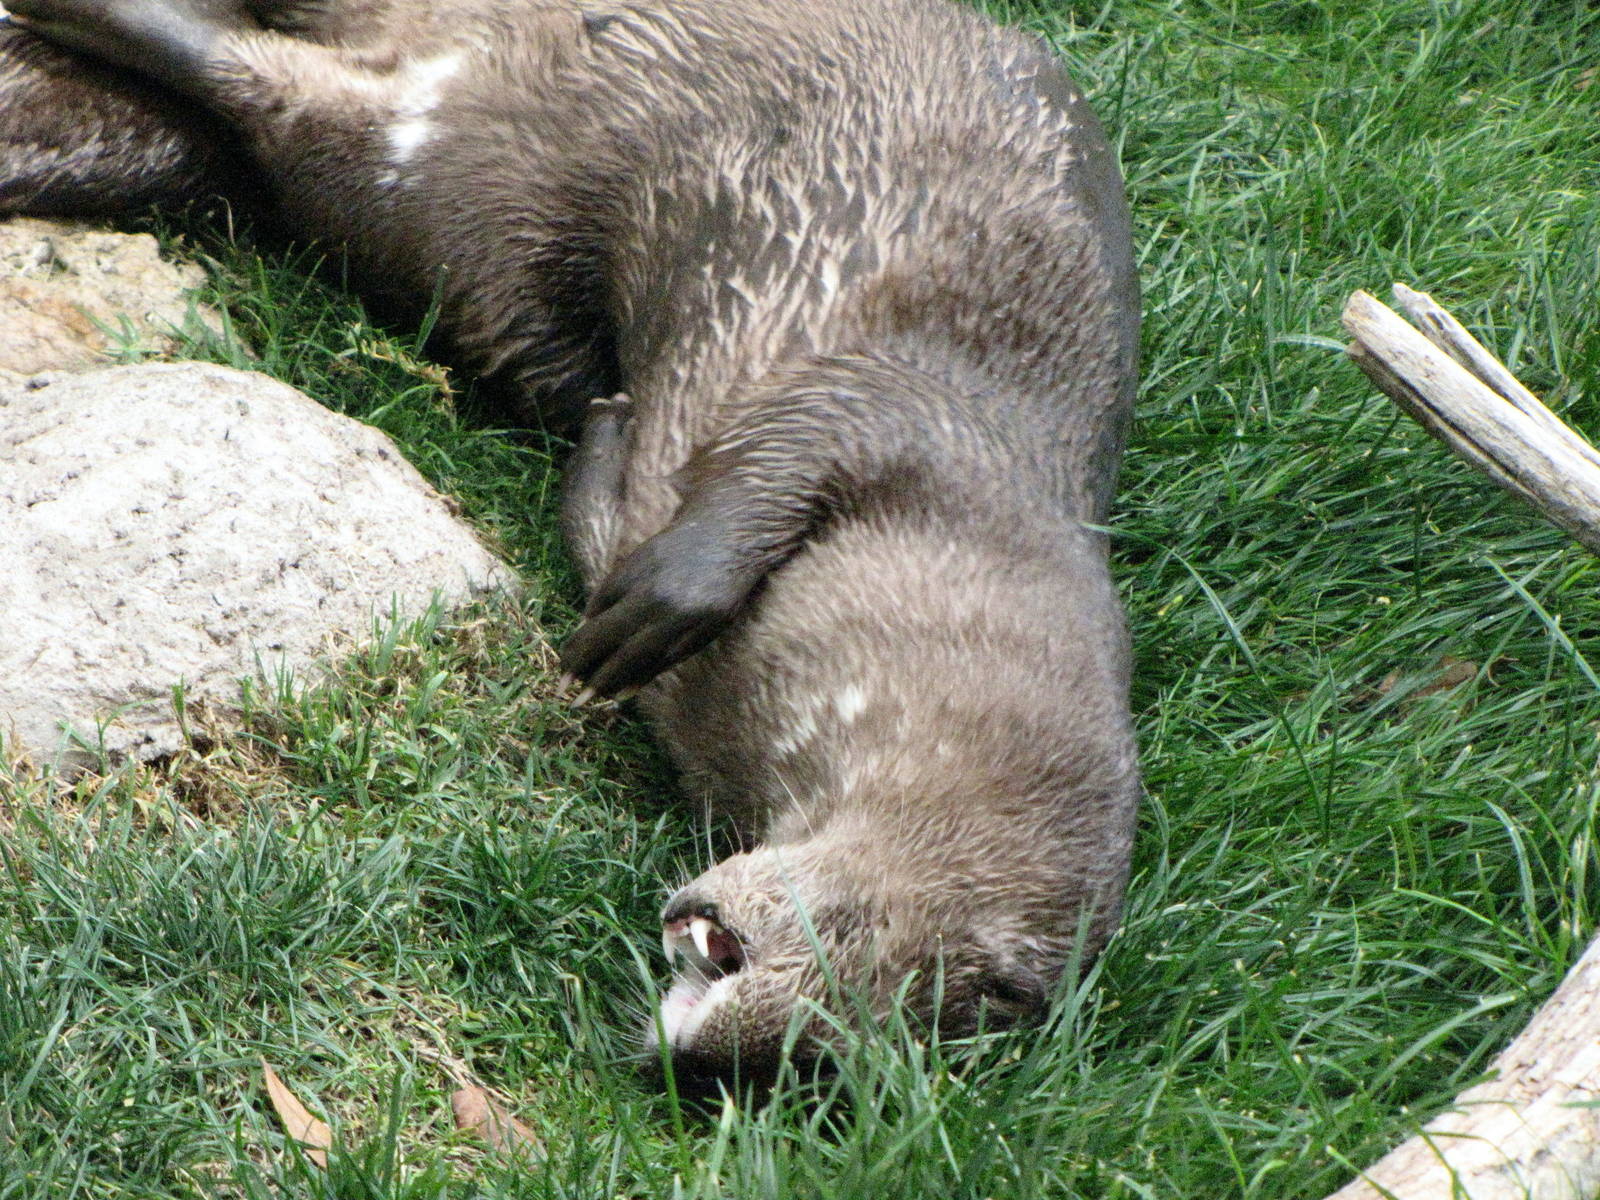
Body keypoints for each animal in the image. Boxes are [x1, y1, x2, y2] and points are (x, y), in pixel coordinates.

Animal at [1, 0, 1141, 1087]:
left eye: (822, 1057)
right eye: (849, 944)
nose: (702, 1051)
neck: (974, 553)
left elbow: (608, 519)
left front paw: (608, 456)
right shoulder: (905, 411)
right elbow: (773, 465)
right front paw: (658, 595)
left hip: (468, 220)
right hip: (453, 176)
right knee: (280, 94)